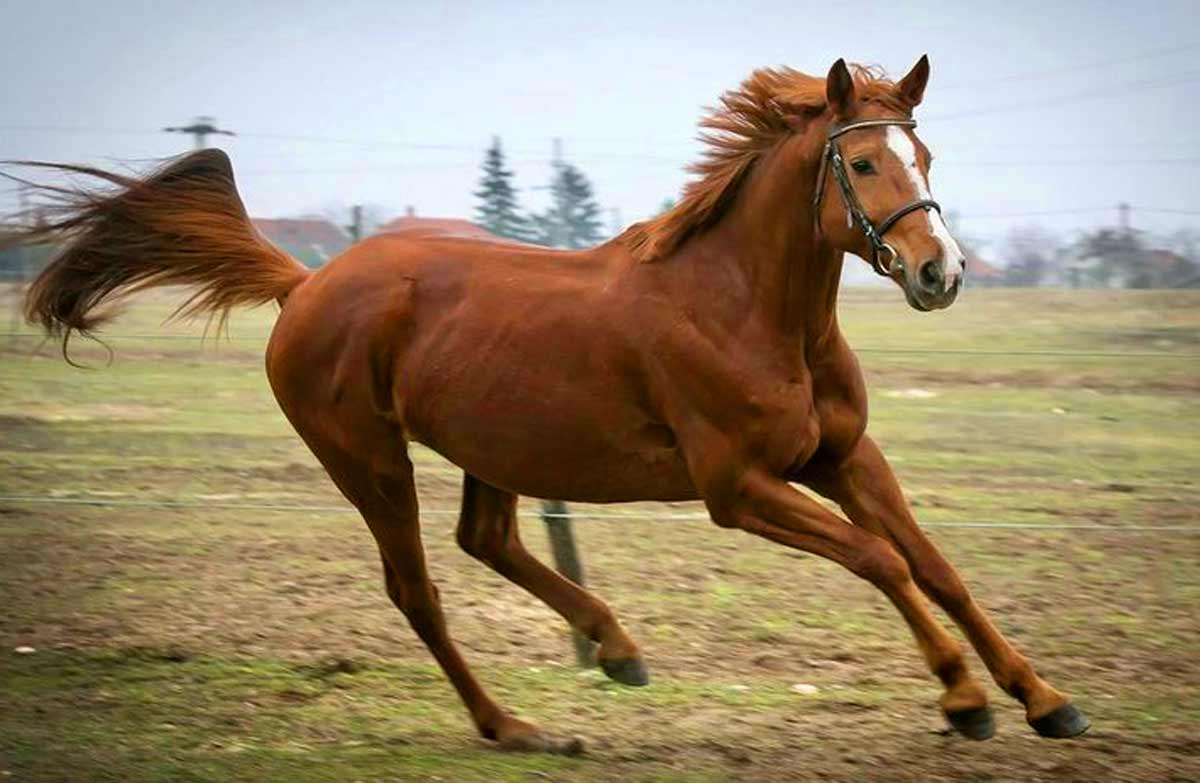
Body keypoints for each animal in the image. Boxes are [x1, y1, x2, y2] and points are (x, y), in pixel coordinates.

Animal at [12, 56, 1089, 754]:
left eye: (927, 158)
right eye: (863, 164)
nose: (941, 274)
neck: (748, 307)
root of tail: (307, 281)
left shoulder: (845, 458)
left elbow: (935, 565)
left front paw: (1046, 700)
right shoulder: (738, 488)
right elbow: (879, 560)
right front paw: (962, 701)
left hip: (491, 449)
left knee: (486, 541)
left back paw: (615, 649)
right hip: (370, 460)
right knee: (418, 589)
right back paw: (514, 725)